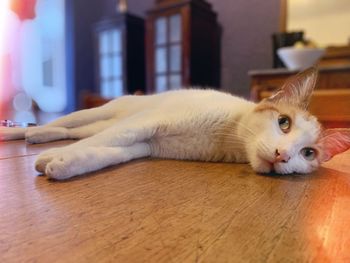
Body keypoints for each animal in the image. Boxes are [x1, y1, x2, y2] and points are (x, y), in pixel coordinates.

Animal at [0, 67, 350, 182]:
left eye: (308, 153)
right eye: (283, 122)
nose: (282, 155)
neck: (228, 137)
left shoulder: (146, 145)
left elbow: (107, 153)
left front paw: (67, 162)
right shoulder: (147, 123)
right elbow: (109, 141)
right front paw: (50, 159)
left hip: (95, 124)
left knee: (70, 131)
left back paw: (41, 135)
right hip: (99, 114)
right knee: (70, 123)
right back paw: (19, 131)